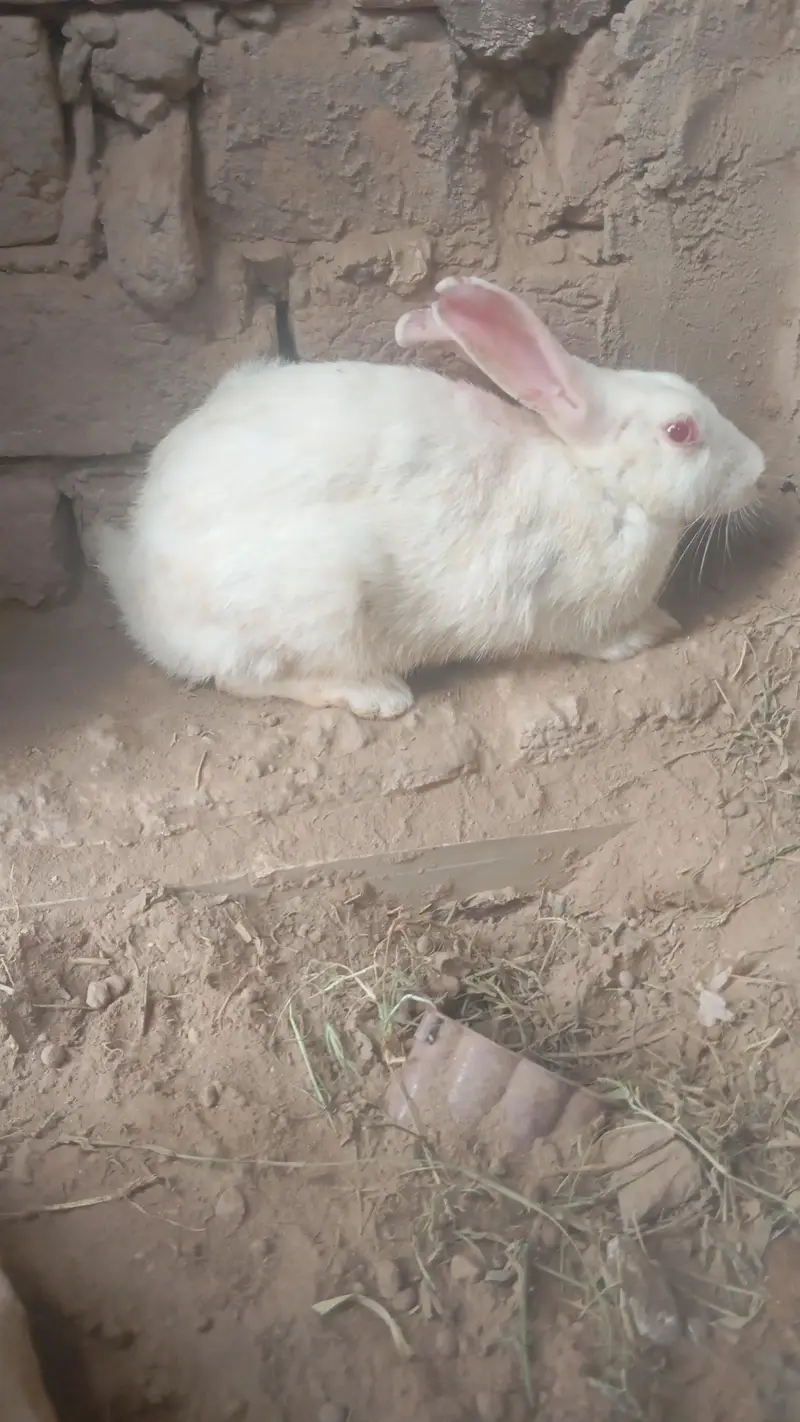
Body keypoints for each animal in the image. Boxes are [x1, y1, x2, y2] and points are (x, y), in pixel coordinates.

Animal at [97, 276, 765, 719]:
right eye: (680, 431)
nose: (760, 467)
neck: (600, 483)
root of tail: (145, 601)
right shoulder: (560, 603)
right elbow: (593, 638)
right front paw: (651, 630)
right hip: (320, 600)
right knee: (246, 678)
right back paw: (377, 695)